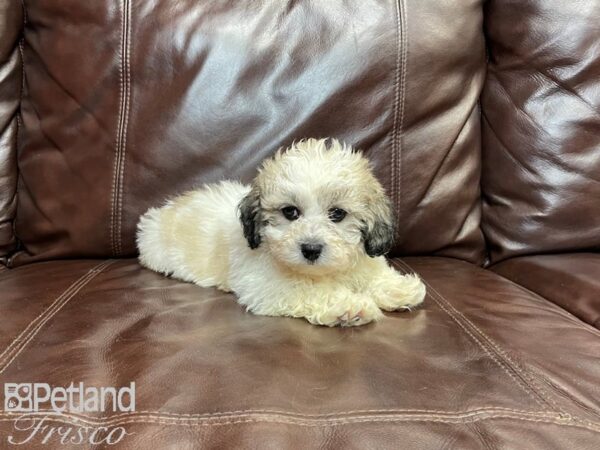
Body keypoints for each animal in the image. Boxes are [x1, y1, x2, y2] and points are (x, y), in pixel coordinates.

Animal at [137, 138, 426, 326]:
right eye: (290, 212)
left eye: (337, 214)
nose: (311, 249)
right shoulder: (266, 284)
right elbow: (308, 290)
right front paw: (348, 306)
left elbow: (371, 272)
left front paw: (398, 288)